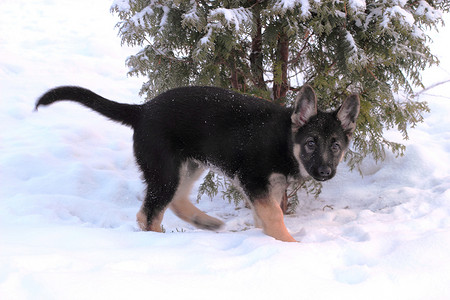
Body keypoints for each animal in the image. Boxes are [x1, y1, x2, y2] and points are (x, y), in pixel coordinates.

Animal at [35, 84, 360, 241]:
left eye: (335, 145)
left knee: (175, 201)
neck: (284, 140)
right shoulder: (254, 180)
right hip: (165, 171)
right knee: (148, 214)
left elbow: (266, 216)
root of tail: (142, 110)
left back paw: (204, 221)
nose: (325, 172)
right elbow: (274, 217)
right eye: (310, 144)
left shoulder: (270, 187)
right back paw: (160, 242)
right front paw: (291, 246)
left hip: (189, 165)